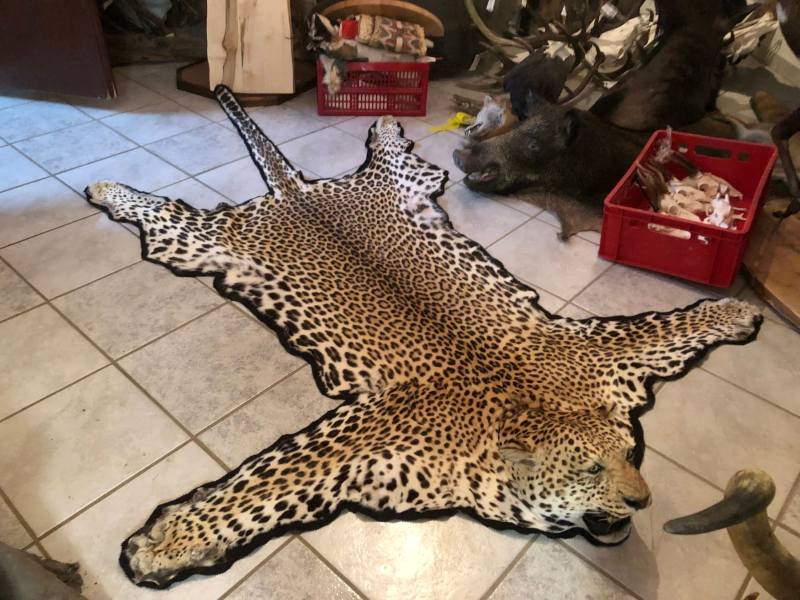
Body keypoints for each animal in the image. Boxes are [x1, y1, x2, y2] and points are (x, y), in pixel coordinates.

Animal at [84, 85, 762, 589]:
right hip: (203, 242)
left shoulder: (597, 351)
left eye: (630, 454)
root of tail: (300, 190)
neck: (524, 406)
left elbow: (669, 323)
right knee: (161, 212)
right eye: (591, 470)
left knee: (395, 157)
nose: (644, 503)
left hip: (403, 186)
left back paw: (386, 120)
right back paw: (105, 188)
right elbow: (261, 486)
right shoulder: (356, 439)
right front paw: (165, 543)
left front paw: (734, 311)